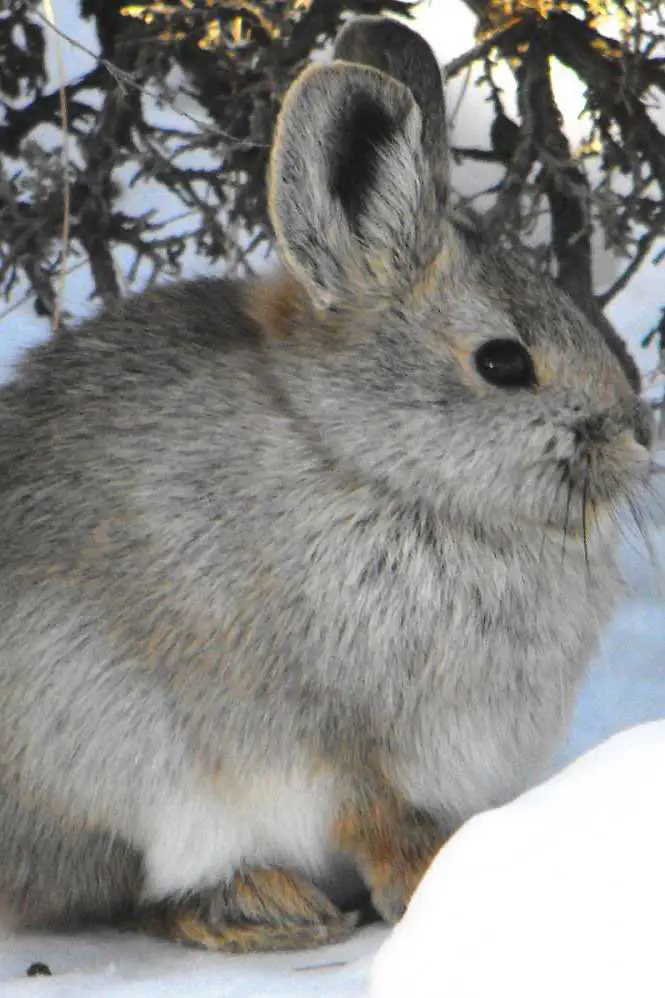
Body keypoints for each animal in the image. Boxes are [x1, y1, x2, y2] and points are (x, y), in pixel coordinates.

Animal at [0, 13, 648, 952]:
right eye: (502, 363)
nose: (636, 439)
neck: (368, 466)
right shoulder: (326, 742)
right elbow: (372, 816)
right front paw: (429, 884)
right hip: (95, 740)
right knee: (124, 891)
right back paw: (264, 906)